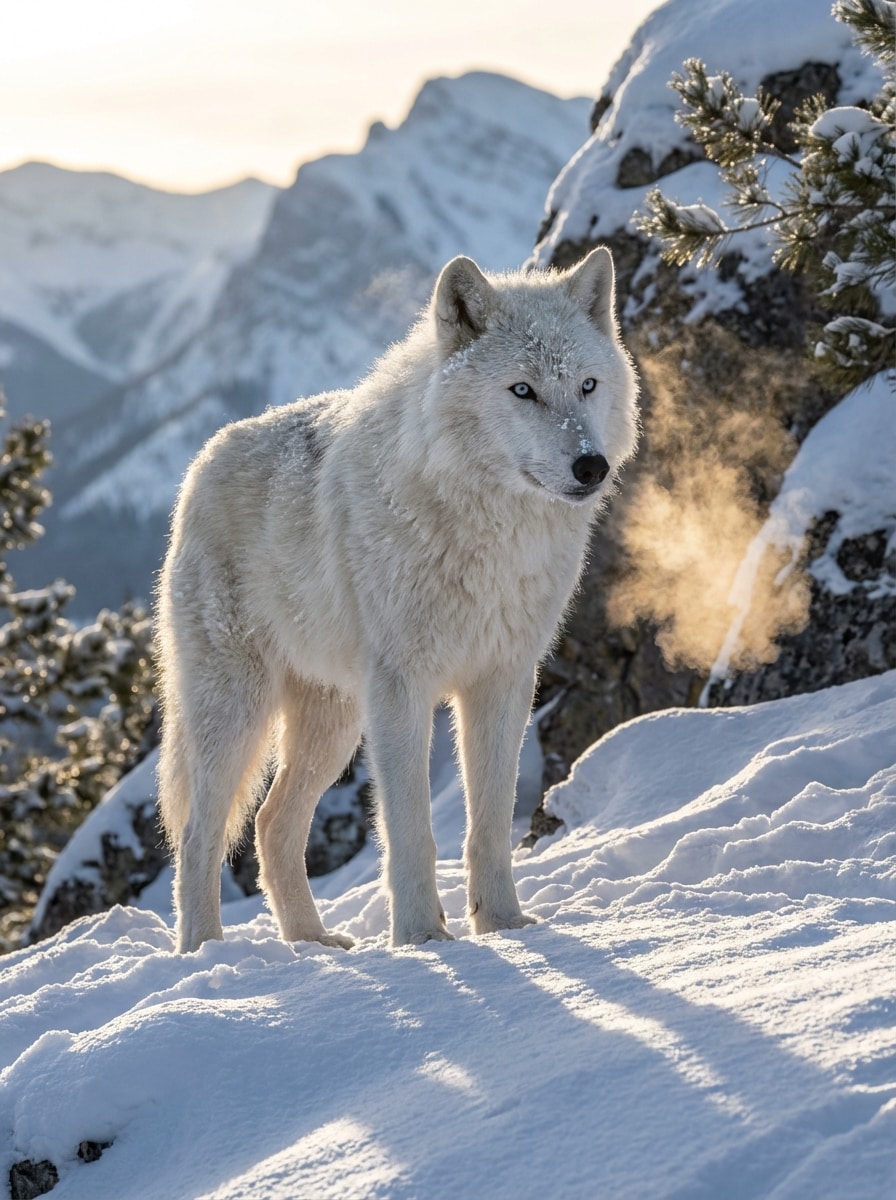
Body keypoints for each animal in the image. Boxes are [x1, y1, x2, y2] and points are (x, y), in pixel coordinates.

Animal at [157, 246, 639, 952]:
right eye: (522, 390)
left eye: (587, 386)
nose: (591, 466)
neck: (490, 536)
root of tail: (200, 464)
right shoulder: (402, 688)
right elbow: (411, 832)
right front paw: (420, 938)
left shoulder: (503, 681)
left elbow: (489, 825)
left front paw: (503, 926)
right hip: (239, 710)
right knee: (199, 835)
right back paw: (203, 954)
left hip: (331, 726)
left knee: (272, 824)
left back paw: (312, 942)